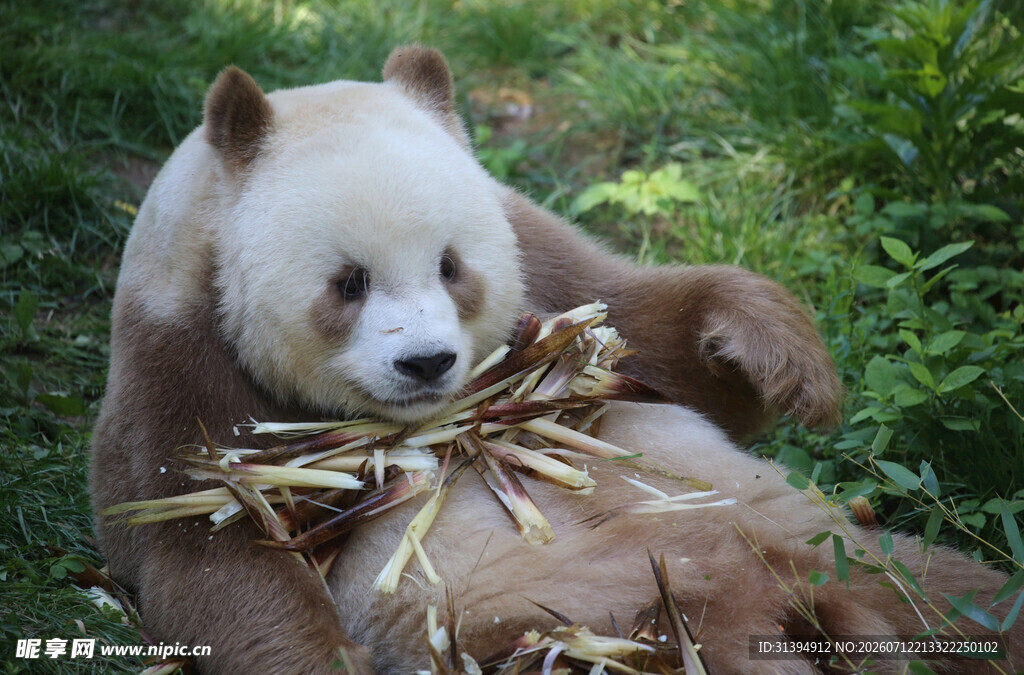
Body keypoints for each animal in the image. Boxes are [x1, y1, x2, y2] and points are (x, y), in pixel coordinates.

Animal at [90, 45, 1020, 673]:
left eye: (452, 266)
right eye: (348, 283)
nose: (428, 363)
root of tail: (801, 597)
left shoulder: (535, 254)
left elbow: (647, 334)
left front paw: (777, 359)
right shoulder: (178, 361)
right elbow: (212, 548)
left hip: (825, 537)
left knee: (965, 589)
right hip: (600, 617)